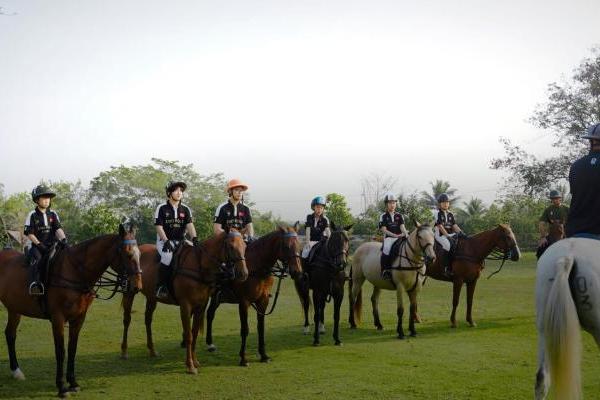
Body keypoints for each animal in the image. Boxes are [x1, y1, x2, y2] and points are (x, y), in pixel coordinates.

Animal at [0, 222, 142, 396]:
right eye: (128, 254)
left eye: (140, 253)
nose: (137, 286)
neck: (75, 273)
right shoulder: (57, 318)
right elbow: (60, 351)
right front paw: (61, 387)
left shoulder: (79, 317)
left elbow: (72, 348)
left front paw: (73, 382)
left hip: (14, 309)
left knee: (10, 334)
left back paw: (16, 371)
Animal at [119, 230, 246, 374]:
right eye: (231, 246)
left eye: (244, 245)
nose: (243, 273)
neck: (199, 265)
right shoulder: (186, 305)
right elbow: (189, 335)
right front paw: (190, 366)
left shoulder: (200, 306)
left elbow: (194, 333)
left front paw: (195, 362)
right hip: (130, 292)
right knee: (127, 319)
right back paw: (124, 351)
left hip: (152, 297)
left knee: (148, 320)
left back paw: (152, 350)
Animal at [206, 225, 302, 366]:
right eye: (286, 246)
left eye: (299, 245)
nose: (297, 272)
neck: (257, 268)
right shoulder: (244, 302)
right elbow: (245, 329)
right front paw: (243, 358)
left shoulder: (263, 301)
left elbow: (260, 327)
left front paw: (264, 355)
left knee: (209, 314)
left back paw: (209, 344)